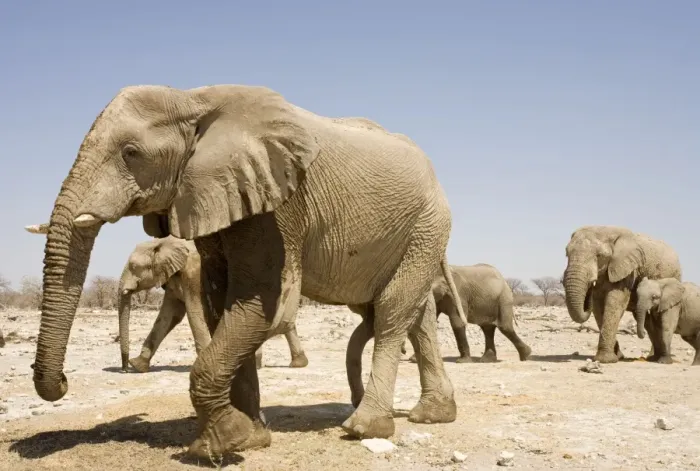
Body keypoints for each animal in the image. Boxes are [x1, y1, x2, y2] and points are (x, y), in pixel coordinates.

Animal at [24, 223, 308, 372]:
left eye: (134, 267)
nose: (123, 366)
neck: (162, 243)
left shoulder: (193, 272)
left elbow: (193, 312)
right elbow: (168, 316)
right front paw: (139, 366)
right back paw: (289, 364)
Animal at [346, 263, 531, 408]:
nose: (403, 352)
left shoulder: (456, 293)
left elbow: (457, 322)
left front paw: (462, 361)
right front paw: (414, 359)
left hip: (504, 299)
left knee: (504, 327)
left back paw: (525, 355)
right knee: (487, 328)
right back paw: (487, 360)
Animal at [562, 225, 681, 363]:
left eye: (600, 256)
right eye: (567, 253)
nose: (590, 285)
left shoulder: (627, 270)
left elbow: (615, 303)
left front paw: (605, 360)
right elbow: (598, 307)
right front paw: (617, 357)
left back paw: (655, 358)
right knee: (647, 320)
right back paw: (653, 357)